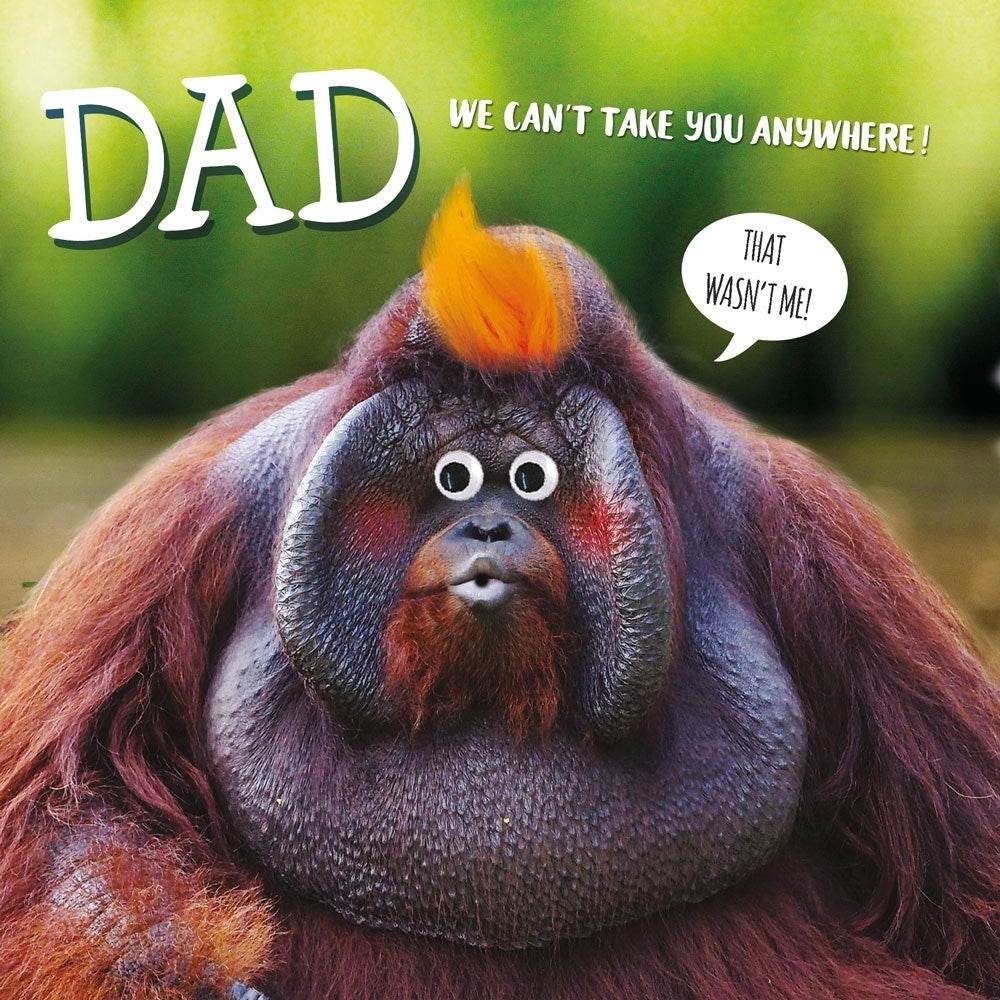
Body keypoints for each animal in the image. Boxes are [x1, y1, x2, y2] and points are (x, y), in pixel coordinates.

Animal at [0, 179, 997, 1000]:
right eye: (452, 477)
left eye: (530, 478)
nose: (486, 527)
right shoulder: (176, 527)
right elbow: (66, 813)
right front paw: (192, 976)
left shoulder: (819, 547)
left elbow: (965, 865)